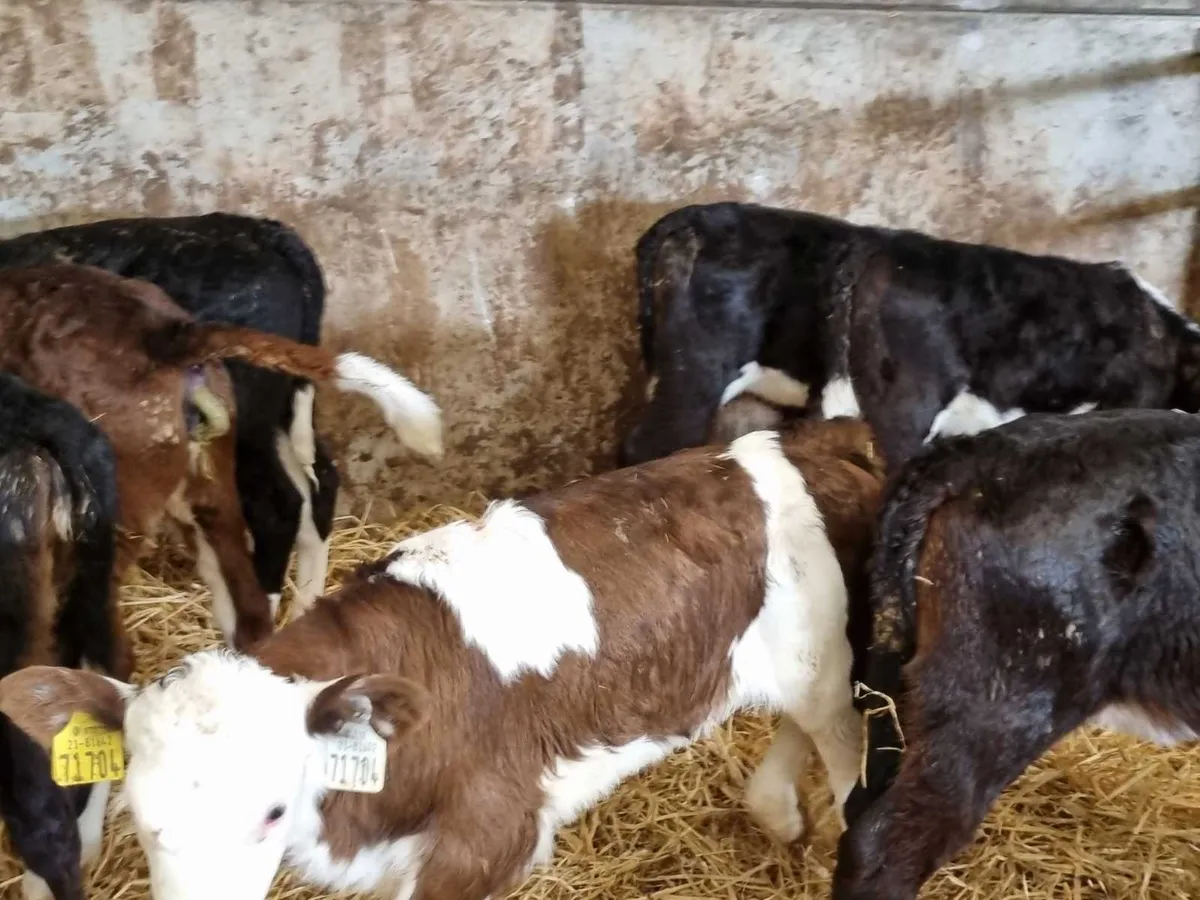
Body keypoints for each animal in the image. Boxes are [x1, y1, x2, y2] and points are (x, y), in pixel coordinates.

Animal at [0, 419, 883, 900]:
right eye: (140, 814)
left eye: (273, 812)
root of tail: (796, 441)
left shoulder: (490, 836)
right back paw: (778, 810)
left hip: (831, 664)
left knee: (845, 755)